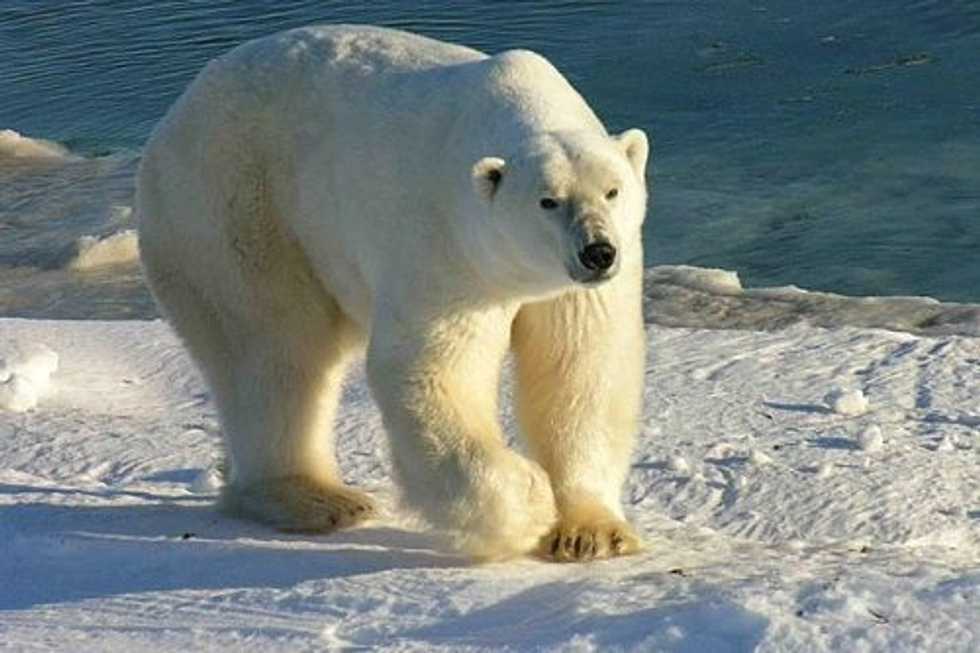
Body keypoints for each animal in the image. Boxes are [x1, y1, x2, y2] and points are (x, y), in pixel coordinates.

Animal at [137, 25, 649, 562]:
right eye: (548, 201)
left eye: (612, 191)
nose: (598, 252)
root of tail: (176, 114)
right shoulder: (448, 247)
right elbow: (433, 368)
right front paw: (528, 504)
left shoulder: (579, 287)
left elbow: (582, 366)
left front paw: (591, 533)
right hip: (234, 206)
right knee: (273, 347)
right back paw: (316, 498)